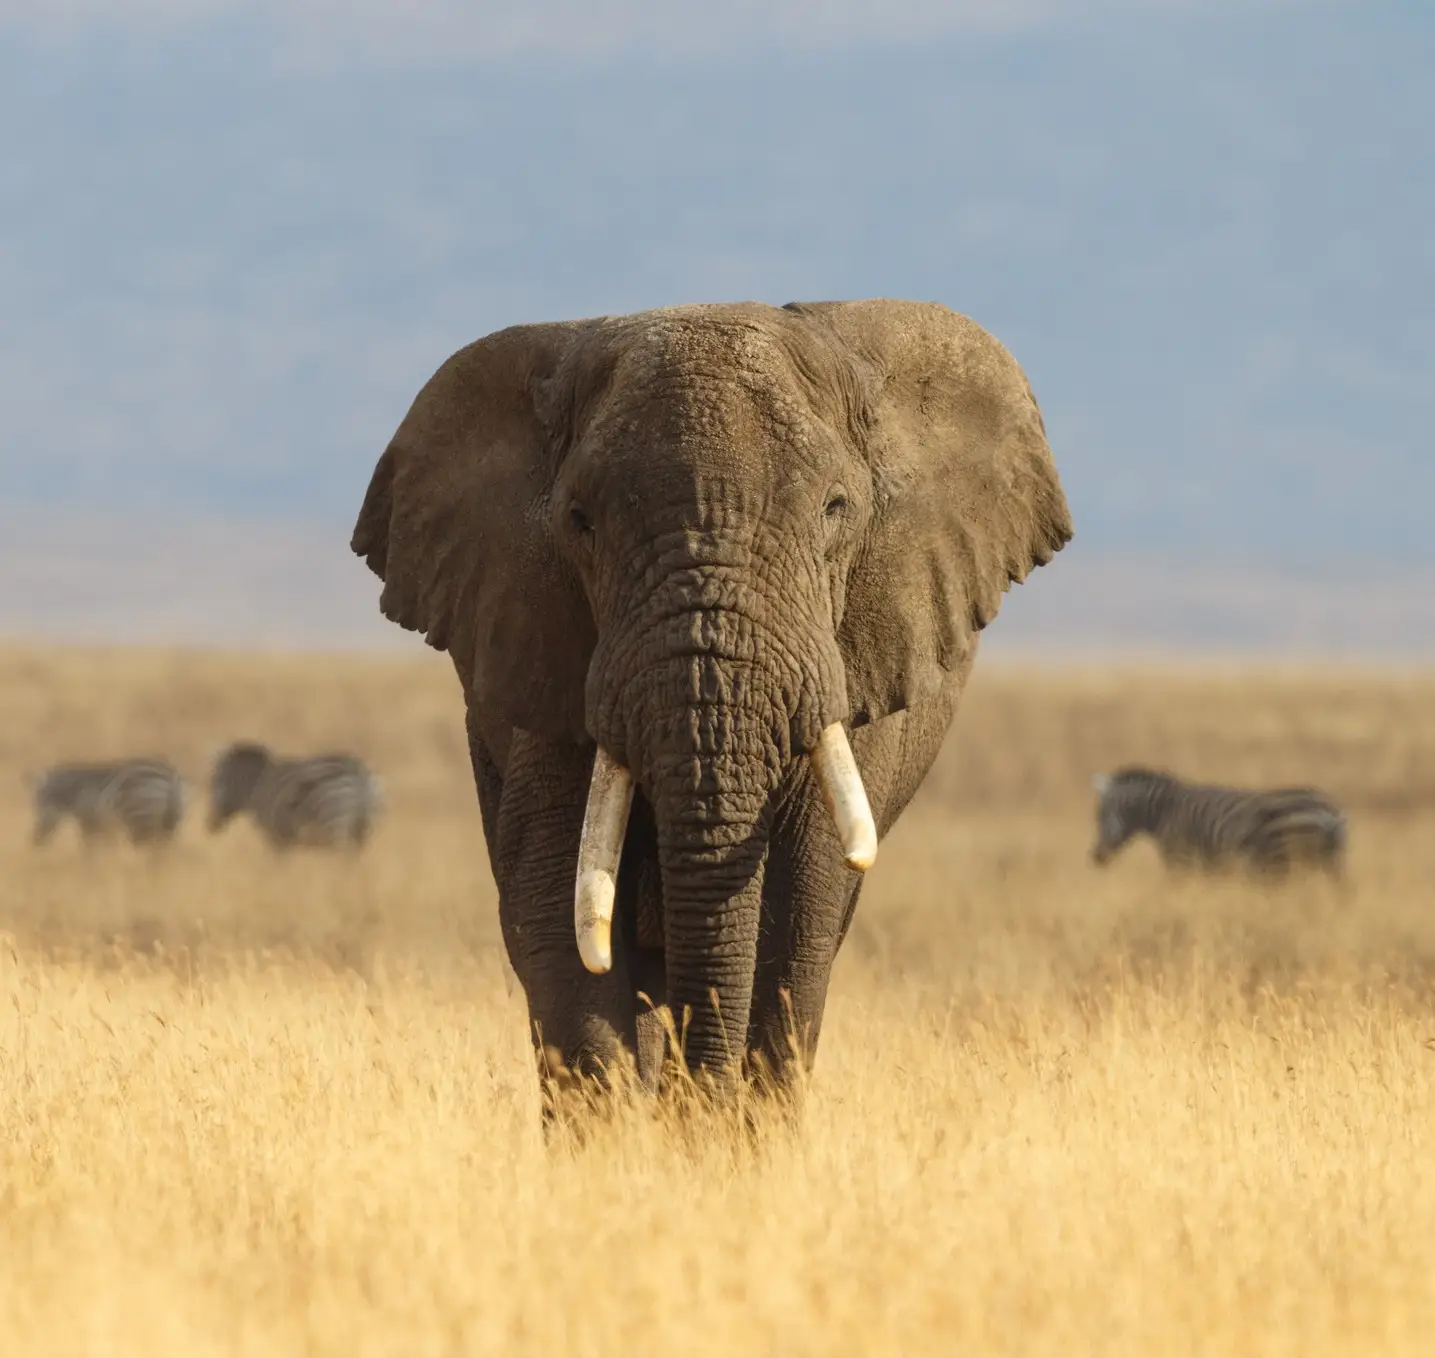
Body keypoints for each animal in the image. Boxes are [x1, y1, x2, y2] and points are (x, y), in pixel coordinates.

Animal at [28, 757, 187, 844]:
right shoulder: (101, 823)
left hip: (141, 816)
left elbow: (89, 847)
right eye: (36, 806)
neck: (77, 790)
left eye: (41, 805)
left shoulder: (90, 819)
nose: (35, 841)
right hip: (167, 819)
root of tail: (171, 776)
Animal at [208, 740, 384, 849]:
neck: (255, 787)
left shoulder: (278, 838)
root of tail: (359, 774)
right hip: (361, 828)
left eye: (214, 784)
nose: (210, 827)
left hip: (336, 823)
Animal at [1090, 763, 1348, 878]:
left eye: (1100, 816)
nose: (1096, 858)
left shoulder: (1180, 858)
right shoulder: (1207, 864)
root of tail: (1329, 810)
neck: (1165, 810)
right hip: (1329, 861)